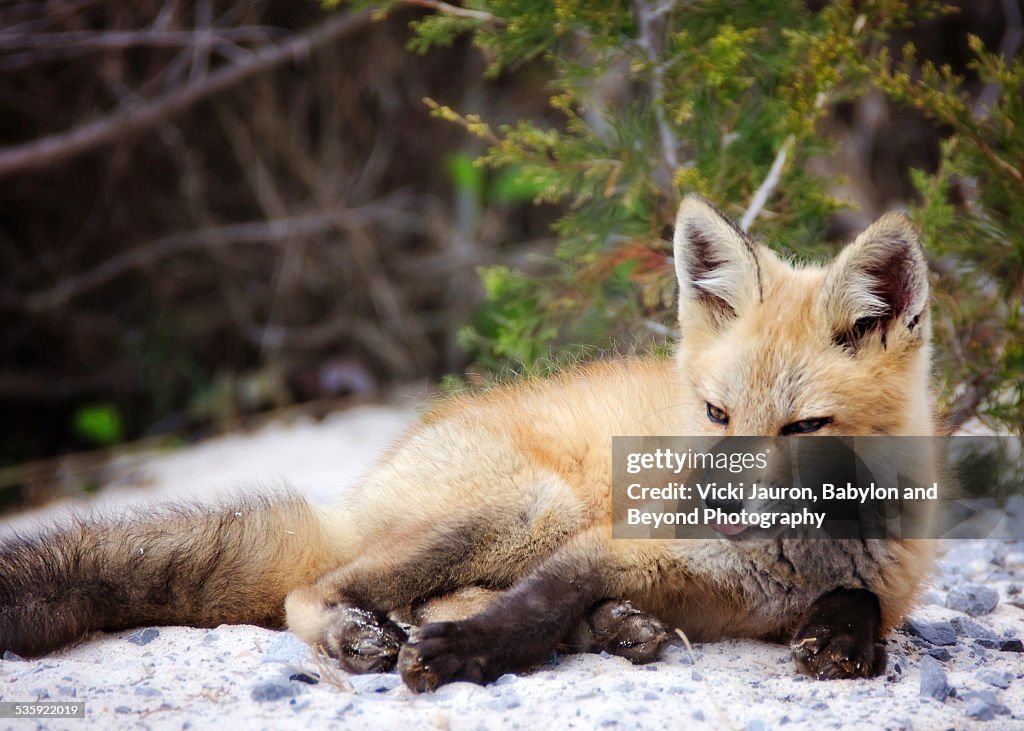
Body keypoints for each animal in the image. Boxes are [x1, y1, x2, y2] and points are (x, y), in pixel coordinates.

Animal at [0, 195, 937, 688]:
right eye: (714, 414)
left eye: (803, 427)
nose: (711, 503)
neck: (779, 567)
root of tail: (369, 480)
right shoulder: (609, 542)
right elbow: (535, 602)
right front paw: (462, 657)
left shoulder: (882, 582)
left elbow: (861, 604)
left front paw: (842, 640)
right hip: (533, 505)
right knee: (318, 588)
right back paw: (366, 634)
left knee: (430, 595)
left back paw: (617, 627)